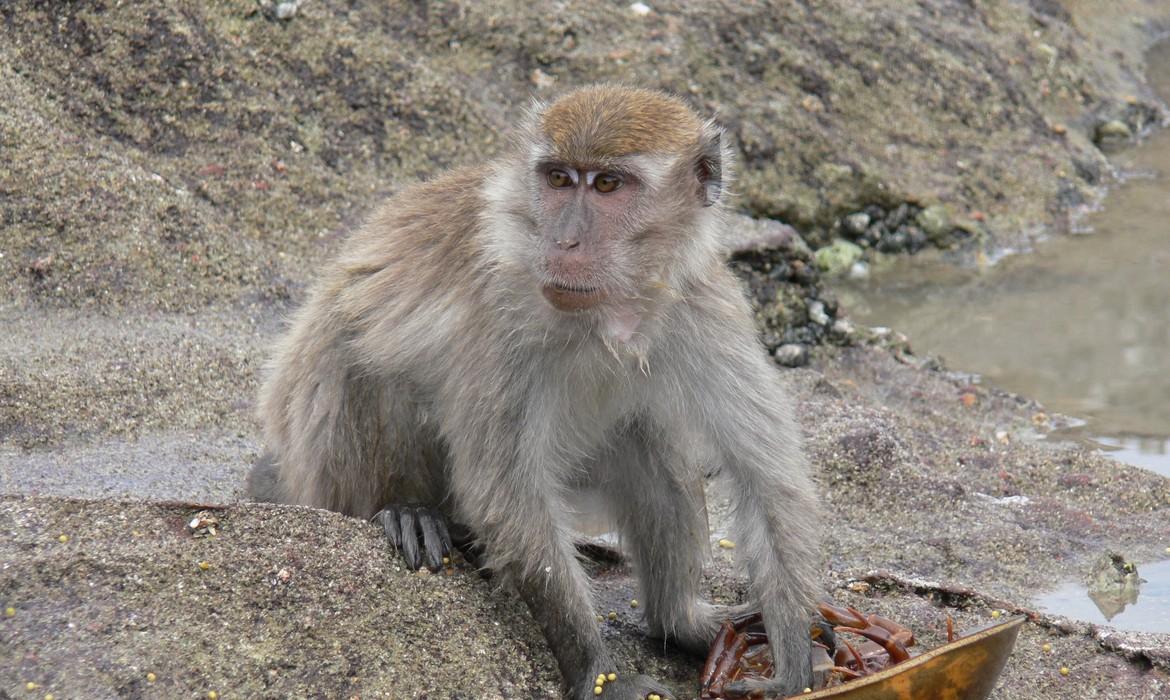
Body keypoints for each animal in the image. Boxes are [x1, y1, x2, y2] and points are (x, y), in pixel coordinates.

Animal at [250, 84, 821, 699]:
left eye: (608, 184)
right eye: (558, 179)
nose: (565, 240)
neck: (609, 311)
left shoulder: (704, 304)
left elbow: (767, 480)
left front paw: (793, 659)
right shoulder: (501, 312)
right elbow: (506, 495)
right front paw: (597, 669)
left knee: (649, 443)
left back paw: (679, 621)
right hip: (319, 450)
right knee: (361, 355)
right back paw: (408, 510)